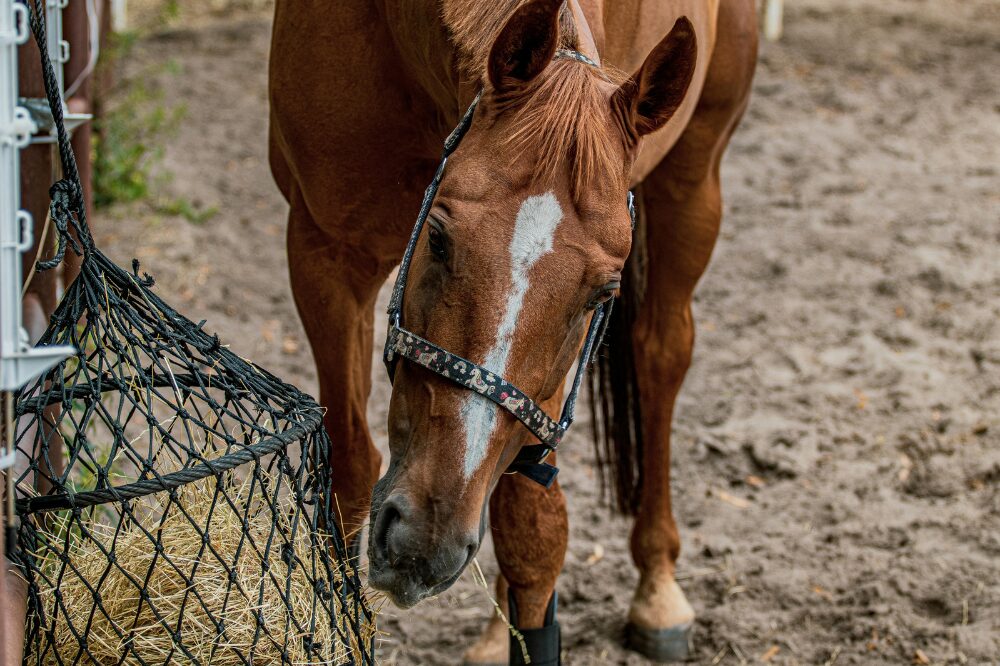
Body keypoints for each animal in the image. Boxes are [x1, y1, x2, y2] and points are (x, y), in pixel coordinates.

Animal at [268, 0, 757, 662]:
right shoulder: (324, 256)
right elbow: (347, 471)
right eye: (438, 237)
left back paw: (658, 588)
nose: (425, 536)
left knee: (661, 356)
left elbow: (533, 532)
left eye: (602, 294)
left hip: (696, 175)